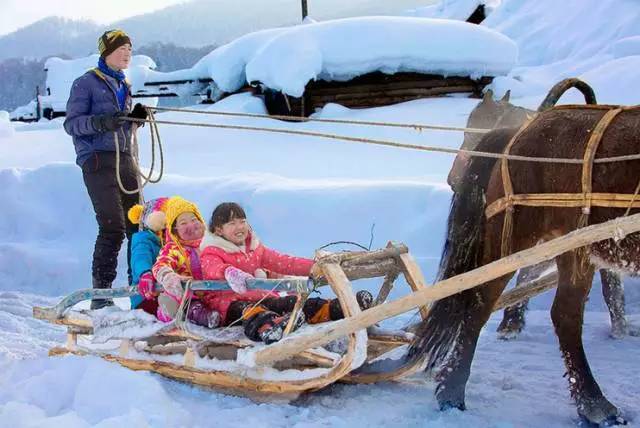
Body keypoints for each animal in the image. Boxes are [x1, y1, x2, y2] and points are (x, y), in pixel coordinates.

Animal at [410, 105, 640, 426]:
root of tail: (518, 133)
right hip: (512, 242)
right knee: (479, 306)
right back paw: (452, 391)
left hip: (573, 249)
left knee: (565, 315)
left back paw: (592, 404)